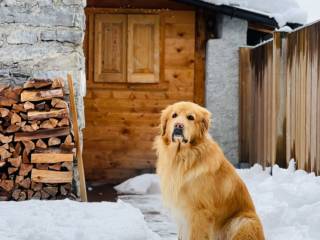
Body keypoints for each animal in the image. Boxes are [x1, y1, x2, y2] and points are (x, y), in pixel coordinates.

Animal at [154, 101, 264, 240]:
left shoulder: (200, 212)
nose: (178, 125)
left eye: (190, 117)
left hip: (243, 221)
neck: (183, 157)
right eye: (174, 115)